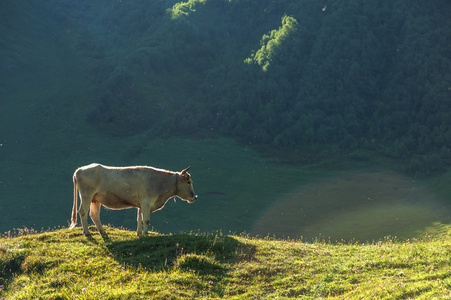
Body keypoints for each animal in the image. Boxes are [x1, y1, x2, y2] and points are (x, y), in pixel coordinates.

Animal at [69, 163, 197, 238]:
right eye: (188, 182)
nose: (194, 197)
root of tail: (79, 169)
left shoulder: (141, 204)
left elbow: (139, 219)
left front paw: (139, 234)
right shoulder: (146, 202)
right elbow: (146, 220)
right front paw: (145, 235)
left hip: (95, 199)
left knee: (94, 214)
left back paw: (103, 233)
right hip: (87, 195)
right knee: (83, 212)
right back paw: (87, 233)